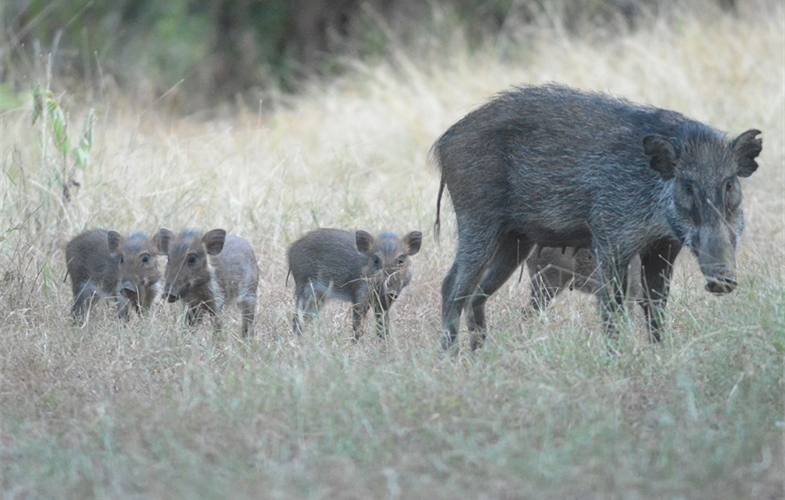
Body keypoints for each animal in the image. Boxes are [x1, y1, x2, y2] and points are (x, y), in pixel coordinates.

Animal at [286, 228, 422, 339]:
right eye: (376, 260)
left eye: (401, 259)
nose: (390, 292)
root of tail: (291, 250)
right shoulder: (360, 296)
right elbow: (358, 325)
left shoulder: (383, 304)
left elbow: (382, 325)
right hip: (306, 289)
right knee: (297, 318)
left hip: (319, 296)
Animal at [431, 83, 762, 350]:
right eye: (688, 186)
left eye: (729, 184)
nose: (722, 281)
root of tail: (443, 143)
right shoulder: (611, 239)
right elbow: (612, 307)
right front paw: (616, 358)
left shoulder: (663, 247)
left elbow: (656, 305)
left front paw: (659, 353)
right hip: (477, 219)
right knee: (452, 287)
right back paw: (450, 357)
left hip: (514, 240)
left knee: (477, 295)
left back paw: (479, 355)